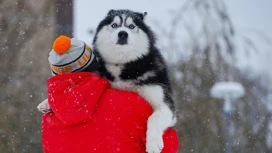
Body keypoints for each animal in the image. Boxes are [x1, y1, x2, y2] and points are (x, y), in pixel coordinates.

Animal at [93, 9, 176, 153]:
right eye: (114, 25)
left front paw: (153, 143)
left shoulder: (164, 103)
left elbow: (154, 118)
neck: (124, 65)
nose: (122, 33)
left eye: (131, 26)